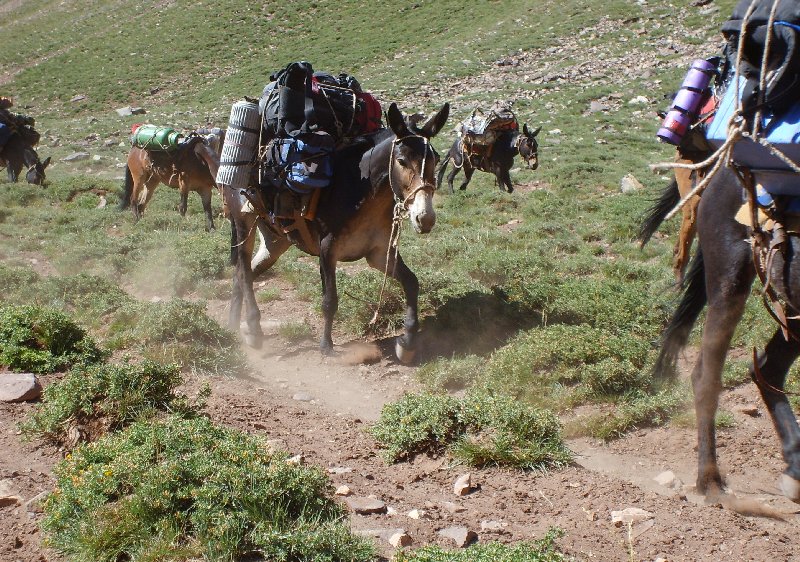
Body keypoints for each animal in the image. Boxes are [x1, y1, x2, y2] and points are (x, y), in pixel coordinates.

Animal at [226, 102, 450, 363]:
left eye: (436, 158)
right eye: (402, 161)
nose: (425, 218)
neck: (361, 192)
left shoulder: (379, 253)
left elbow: (412, 283)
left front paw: (407, 342)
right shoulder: (327, 250)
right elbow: (330, 300)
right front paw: (326, 345)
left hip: (274, 240)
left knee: (242, 274)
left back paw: (234, 325)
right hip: (244, 223)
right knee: (244, 272)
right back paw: (254, 330)